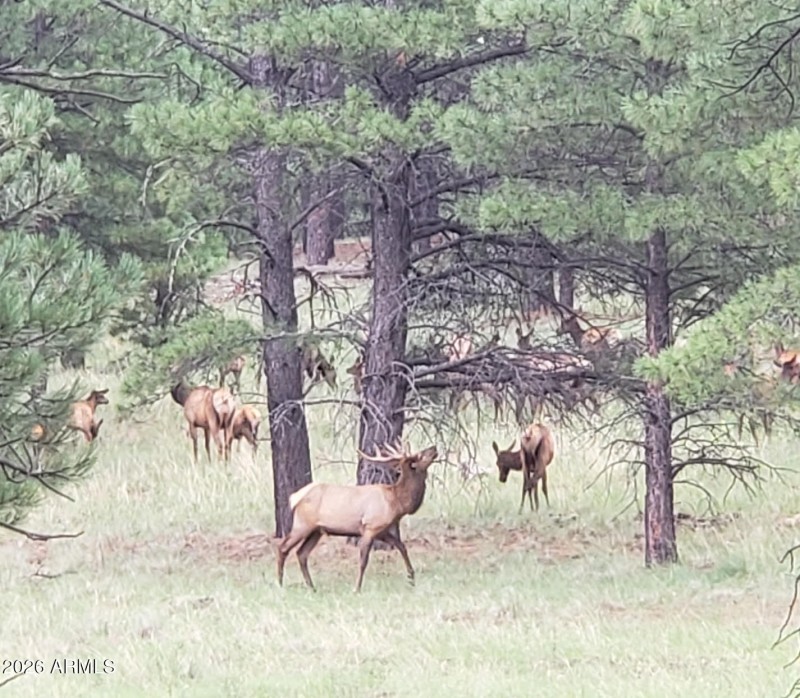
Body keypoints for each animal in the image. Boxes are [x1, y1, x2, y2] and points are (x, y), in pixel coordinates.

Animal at [277, 442, 438, 592]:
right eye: (420, 455)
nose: (434, 447)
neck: (396, 503)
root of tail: (294, 497)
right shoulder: (370, 527)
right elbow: (363, 560)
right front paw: (357, 588)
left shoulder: (383, 531)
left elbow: (402, 547)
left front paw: (412, 578)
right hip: (302, 524)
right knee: (283, 547)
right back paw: (280, 583)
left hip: (316, 531)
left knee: (301, 553)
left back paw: (311, 586)